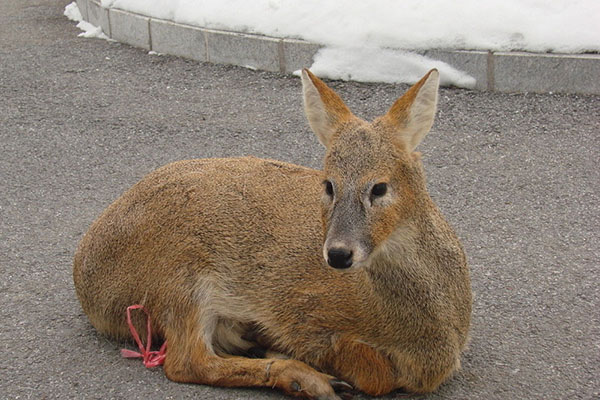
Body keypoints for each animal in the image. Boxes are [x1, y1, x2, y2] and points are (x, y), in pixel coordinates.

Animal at [74, 69, 468, 400]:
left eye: (380, 187)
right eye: (328, 184)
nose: (338, 254)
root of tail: (86, 279)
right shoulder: (304, 313)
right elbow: (376, 375)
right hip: (179, 275)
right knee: (188, 362)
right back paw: (304, 378)